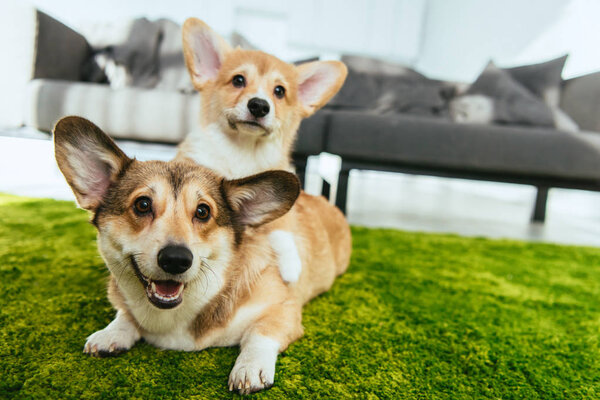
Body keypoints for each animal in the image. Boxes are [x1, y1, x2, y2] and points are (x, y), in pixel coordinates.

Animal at [54, 117, 352, 396]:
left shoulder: (284, 308)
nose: (176, 259)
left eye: (202, 212)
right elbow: (125, 313)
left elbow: (259, 334)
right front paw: (112, 332)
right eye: (142, 204)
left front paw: (249, 367)